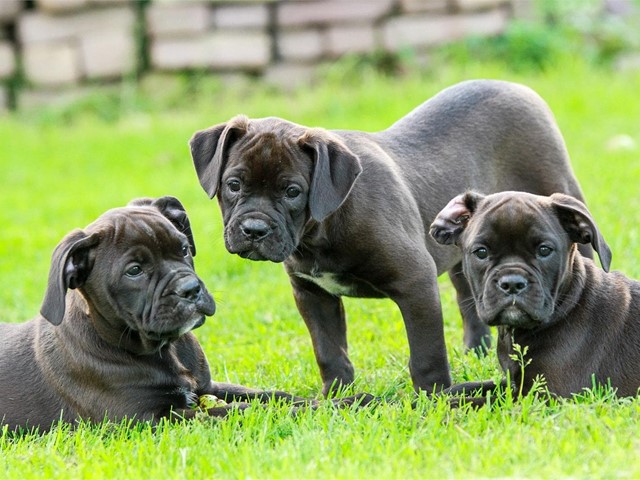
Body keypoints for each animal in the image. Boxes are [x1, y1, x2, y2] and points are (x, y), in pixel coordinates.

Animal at [0, 197, 340, 434]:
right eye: (134, 271)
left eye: (184, 248)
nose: (190, 289)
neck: (164, 348)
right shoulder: (153, 419)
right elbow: (241, 410)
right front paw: (334, 408)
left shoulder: (206, 387)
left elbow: (271, 395)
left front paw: (338, 401)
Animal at [189, 79, 592, 394]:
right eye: (233, 185)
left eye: (292, 192)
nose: (254, 230)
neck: (322, 228)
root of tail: (517, 87)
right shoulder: (312, 294)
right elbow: (329, 352)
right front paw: (338, 399)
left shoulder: (415, 282)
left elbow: (426, 355)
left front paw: (434, 401)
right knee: (469, 300)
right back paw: (474, 352)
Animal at [430, 191, 640, 402]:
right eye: (481, 252)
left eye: (544, 250)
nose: (512, 283)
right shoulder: (512, 383)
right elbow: (470, 387)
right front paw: (430, 398)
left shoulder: (545, 395)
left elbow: (476, 402)